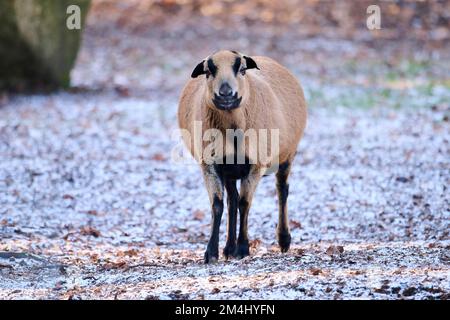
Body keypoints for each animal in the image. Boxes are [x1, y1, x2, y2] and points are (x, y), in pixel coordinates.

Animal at [178, 50, 308, 264]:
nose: (225, 94)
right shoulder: (210, 165)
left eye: (242, 69)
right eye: (208, 71)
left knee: (282, 190)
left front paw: (243, 248)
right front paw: (211, 252)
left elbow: (245, 204)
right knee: (232, 201)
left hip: (288, 153)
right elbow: (218, 205)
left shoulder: (255, 165)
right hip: (230, 171)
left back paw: (283, 240)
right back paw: (228, 247)